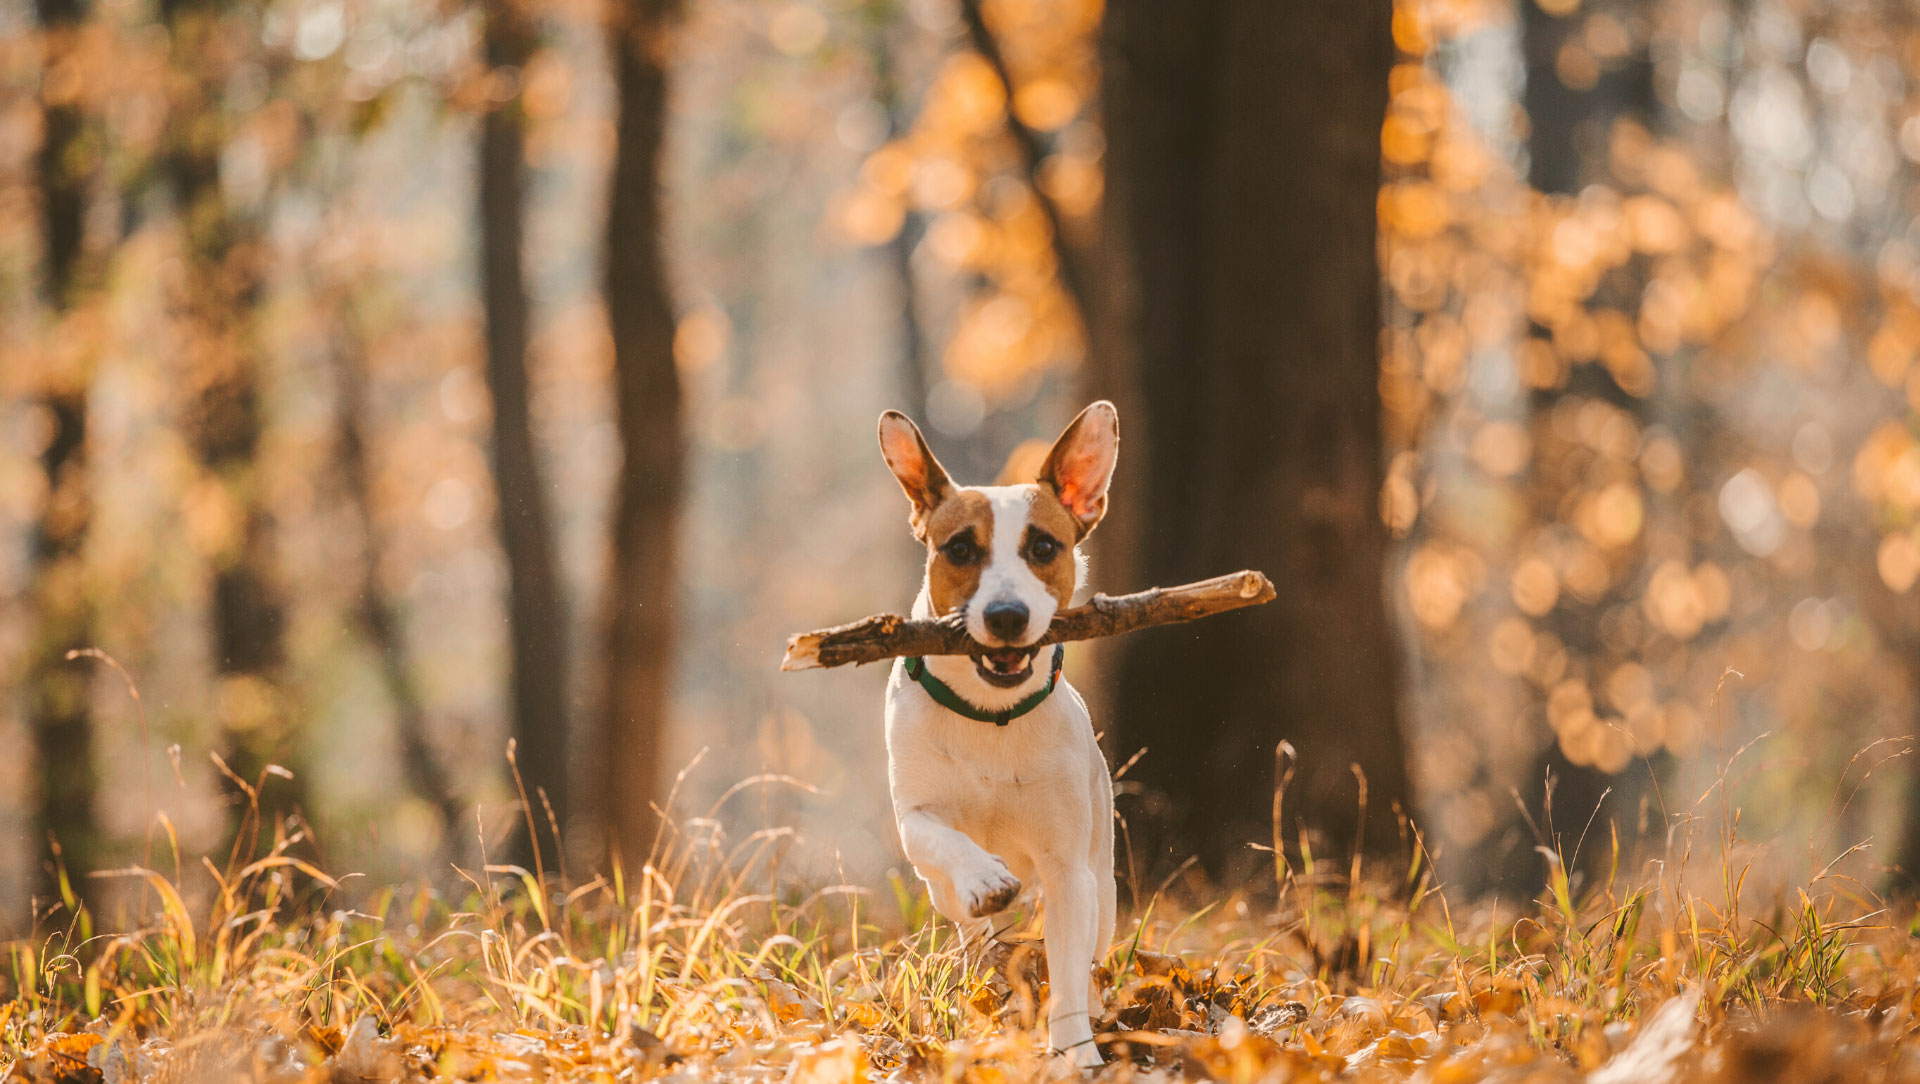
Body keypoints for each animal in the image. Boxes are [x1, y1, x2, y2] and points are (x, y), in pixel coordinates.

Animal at [875, 399, 1121, 1066]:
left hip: (1105, 882)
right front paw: (984, 877)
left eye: (1043, 546)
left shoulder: (1068, 868)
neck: (990, 714)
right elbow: (942, 839)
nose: (1007, 616)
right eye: (960, 548)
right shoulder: (915, 815)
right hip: (938, 893)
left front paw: (1077, 1054)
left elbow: (1068, 974)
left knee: (1091, 950)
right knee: (969, 926)